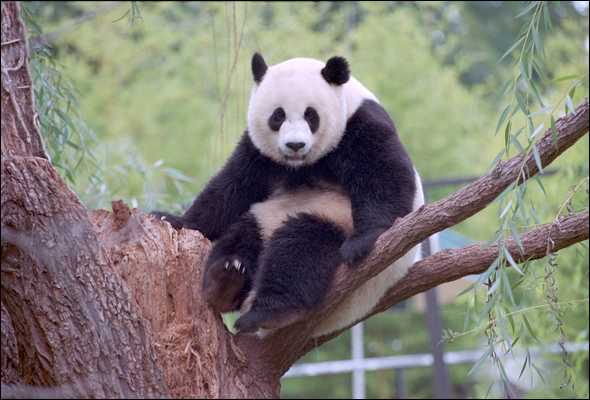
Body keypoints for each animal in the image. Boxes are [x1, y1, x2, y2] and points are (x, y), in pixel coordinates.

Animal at [153, 53, 425, 338]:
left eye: (310, 115)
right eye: (278, 116)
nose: (295, 145)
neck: (302, 165)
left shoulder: (359, 124)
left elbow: (384, 175)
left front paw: (363, 241)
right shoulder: (258, 150)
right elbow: (232, 187)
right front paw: (173, 219)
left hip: (334, 219)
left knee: (299, 247)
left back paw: (269, 311)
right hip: (267, 215)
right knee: (245, 232)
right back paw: (225, 281)